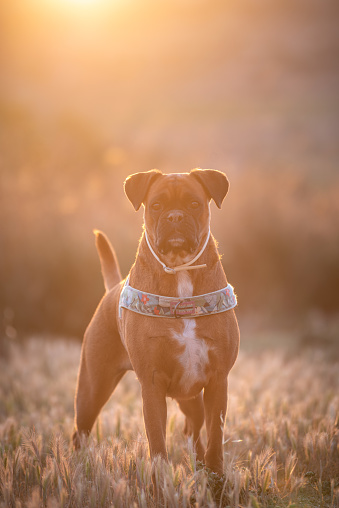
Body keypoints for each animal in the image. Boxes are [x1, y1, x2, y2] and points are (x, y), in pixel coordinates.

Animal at [73, 171, 240, 476]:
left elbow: (215, 440)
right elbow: (158, 444)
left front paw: (215, 479)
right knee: (80, 433)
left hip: (191, 398)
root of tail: (111, 289)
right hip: (91, 391)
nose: (175, 216)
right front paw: (161, 482)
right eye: (156, 205)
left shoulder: (217, 381)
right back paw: (77, 469)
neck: (180, 270)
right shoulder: (152, 387)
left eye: (195, 204)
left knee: (194, 432)